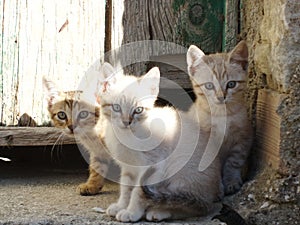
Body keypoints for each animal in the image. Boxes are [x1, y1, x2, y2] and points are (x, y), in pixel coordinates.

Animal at [96, 62, 223, 222]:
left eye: (138, 110)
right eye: (116, 108)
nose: (126, 122)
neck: (127, 136)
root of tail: (211, 195)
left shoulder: (154, 165)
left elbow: (137, 192)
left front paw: (132, 212)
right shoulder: (129, 167)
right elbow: (126, 188)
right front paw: (121, 206)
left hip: (179, 170)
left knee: (194, 207)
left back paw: (159, 211)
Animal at [186, 40, 252, 195]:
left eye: (231, 84)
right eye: (209, 86)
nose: (221, 97)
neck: (222, 114)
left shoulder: (243, 137)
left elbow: (234, 163)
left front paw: (231, 181)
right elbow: (210, 164)